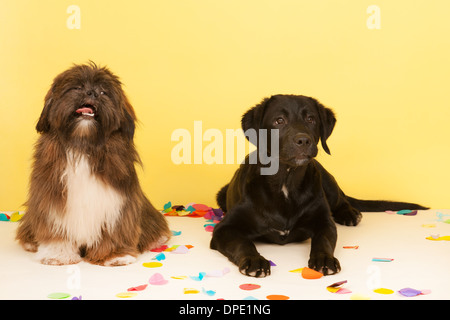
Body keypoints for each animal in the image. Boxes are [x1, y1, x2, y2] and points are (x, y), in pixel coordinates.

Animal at [15, 62, 171, 264]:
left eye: (104, 92)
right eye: (77, 87)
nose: (92, 93)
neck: (83, 146)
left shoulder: (117, 204)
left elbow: (114, 230)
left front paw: (115, 255)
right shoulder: (51, 199)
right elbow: (57, 231)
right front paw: (58, 254)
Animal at [210, 94, 426, 276]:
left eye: (311, 119)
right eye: (279, 121)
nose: (303, 140)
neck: (286, 181)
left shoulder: (324, 222)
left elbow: (322, 241)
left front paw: (324, 259)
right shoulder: (224, 229)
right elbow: (243, 243)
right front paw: (254, 260)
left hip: (325, 179)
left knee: (341, 199)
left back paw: (349, 214)